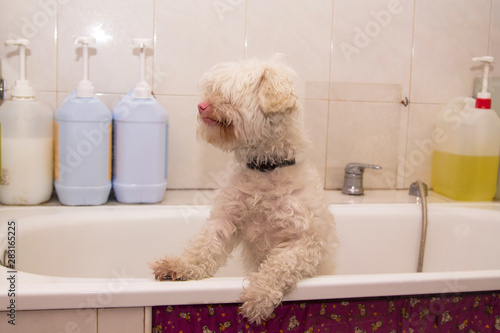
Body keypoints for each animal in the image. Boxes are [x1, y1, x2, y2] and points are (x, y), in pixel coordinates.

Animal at [148, 55, 336, 322]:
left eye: (229, 93)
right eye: (212, 89)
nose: (201, 106)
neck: (265, 170)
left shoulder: (304, 242)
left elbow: (278, 267)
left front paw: (259, 294)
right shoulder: (226, 218)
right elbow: (203, 247)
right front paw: (180, 265)